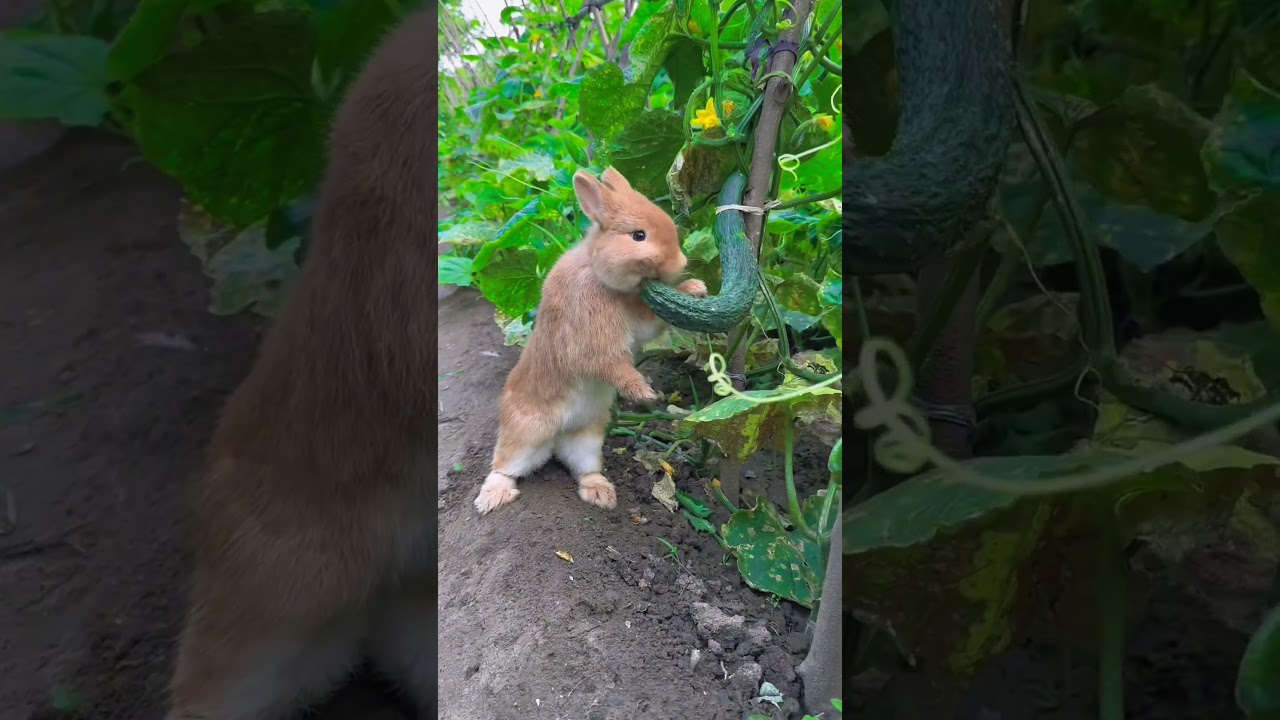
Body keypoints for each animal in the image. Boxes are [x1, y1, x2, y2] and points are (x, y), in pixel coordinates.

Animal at [474, 167, 707, 515]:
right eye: (639, 236)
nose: (677, 265)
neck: (599, 275)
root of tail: (556, 436)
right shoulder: (592, 341)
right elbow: (612, 365)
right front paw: (643, 393)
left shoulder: (639, 321)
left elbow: (652, 324)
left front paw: (695, 289)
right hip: (525, 433)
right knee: (504, 466)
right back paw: (492, 498)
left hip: (587, 439)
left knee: (584, 468)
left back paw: (601, 494)